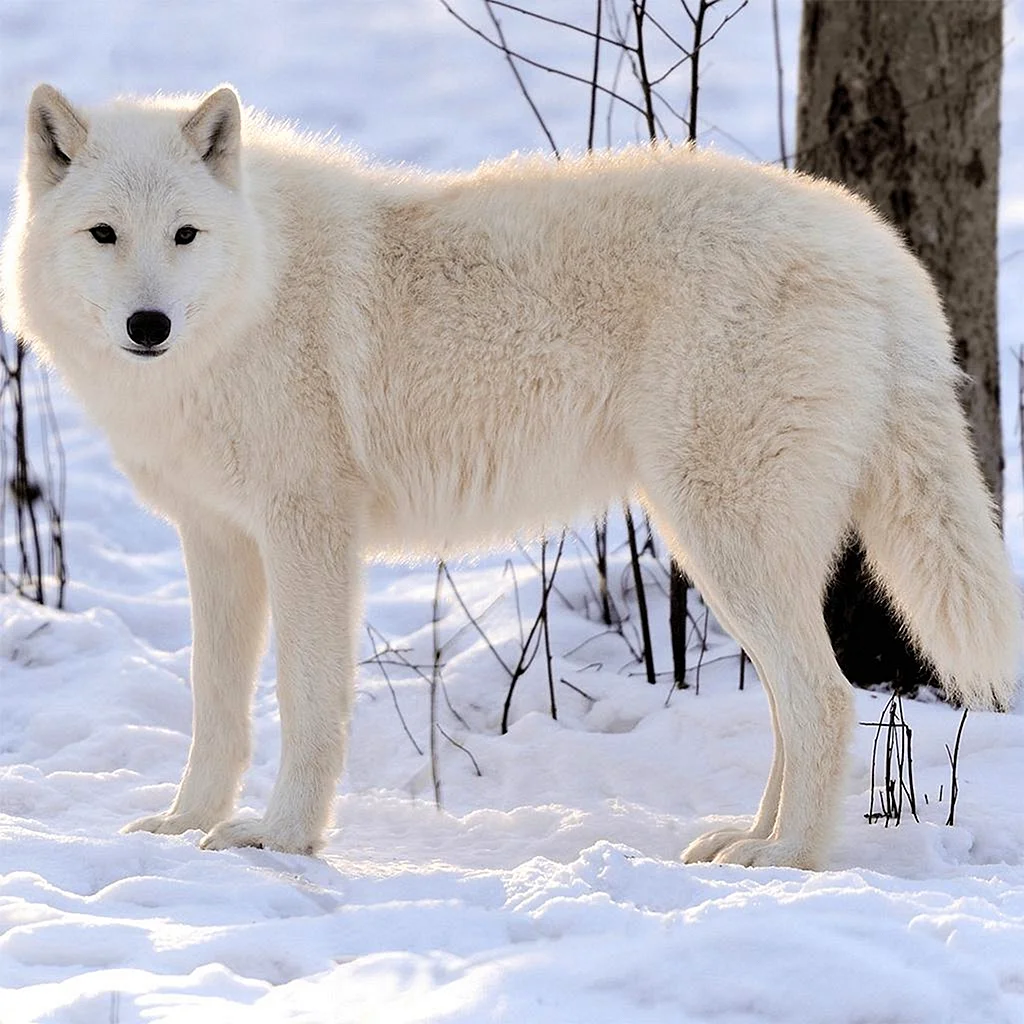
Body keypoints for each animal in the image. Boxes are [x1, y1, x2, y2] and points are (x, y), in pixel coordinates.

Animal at [0, 88, 1015, 868]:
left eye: (184, 234)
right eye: (104, 235)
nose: (149, 325)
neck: (257, 290)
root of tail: (878, 250)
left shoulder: (308, 532)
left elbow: (307, 701)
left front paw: (282, 841)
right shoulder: (216, 540)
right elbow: (214, 705)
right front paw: (187, 825)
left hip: (722, 540)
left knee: (828, 699)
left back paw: (787, 859)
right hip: (729, 551)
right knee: (795, 707)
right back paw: (747, 839)